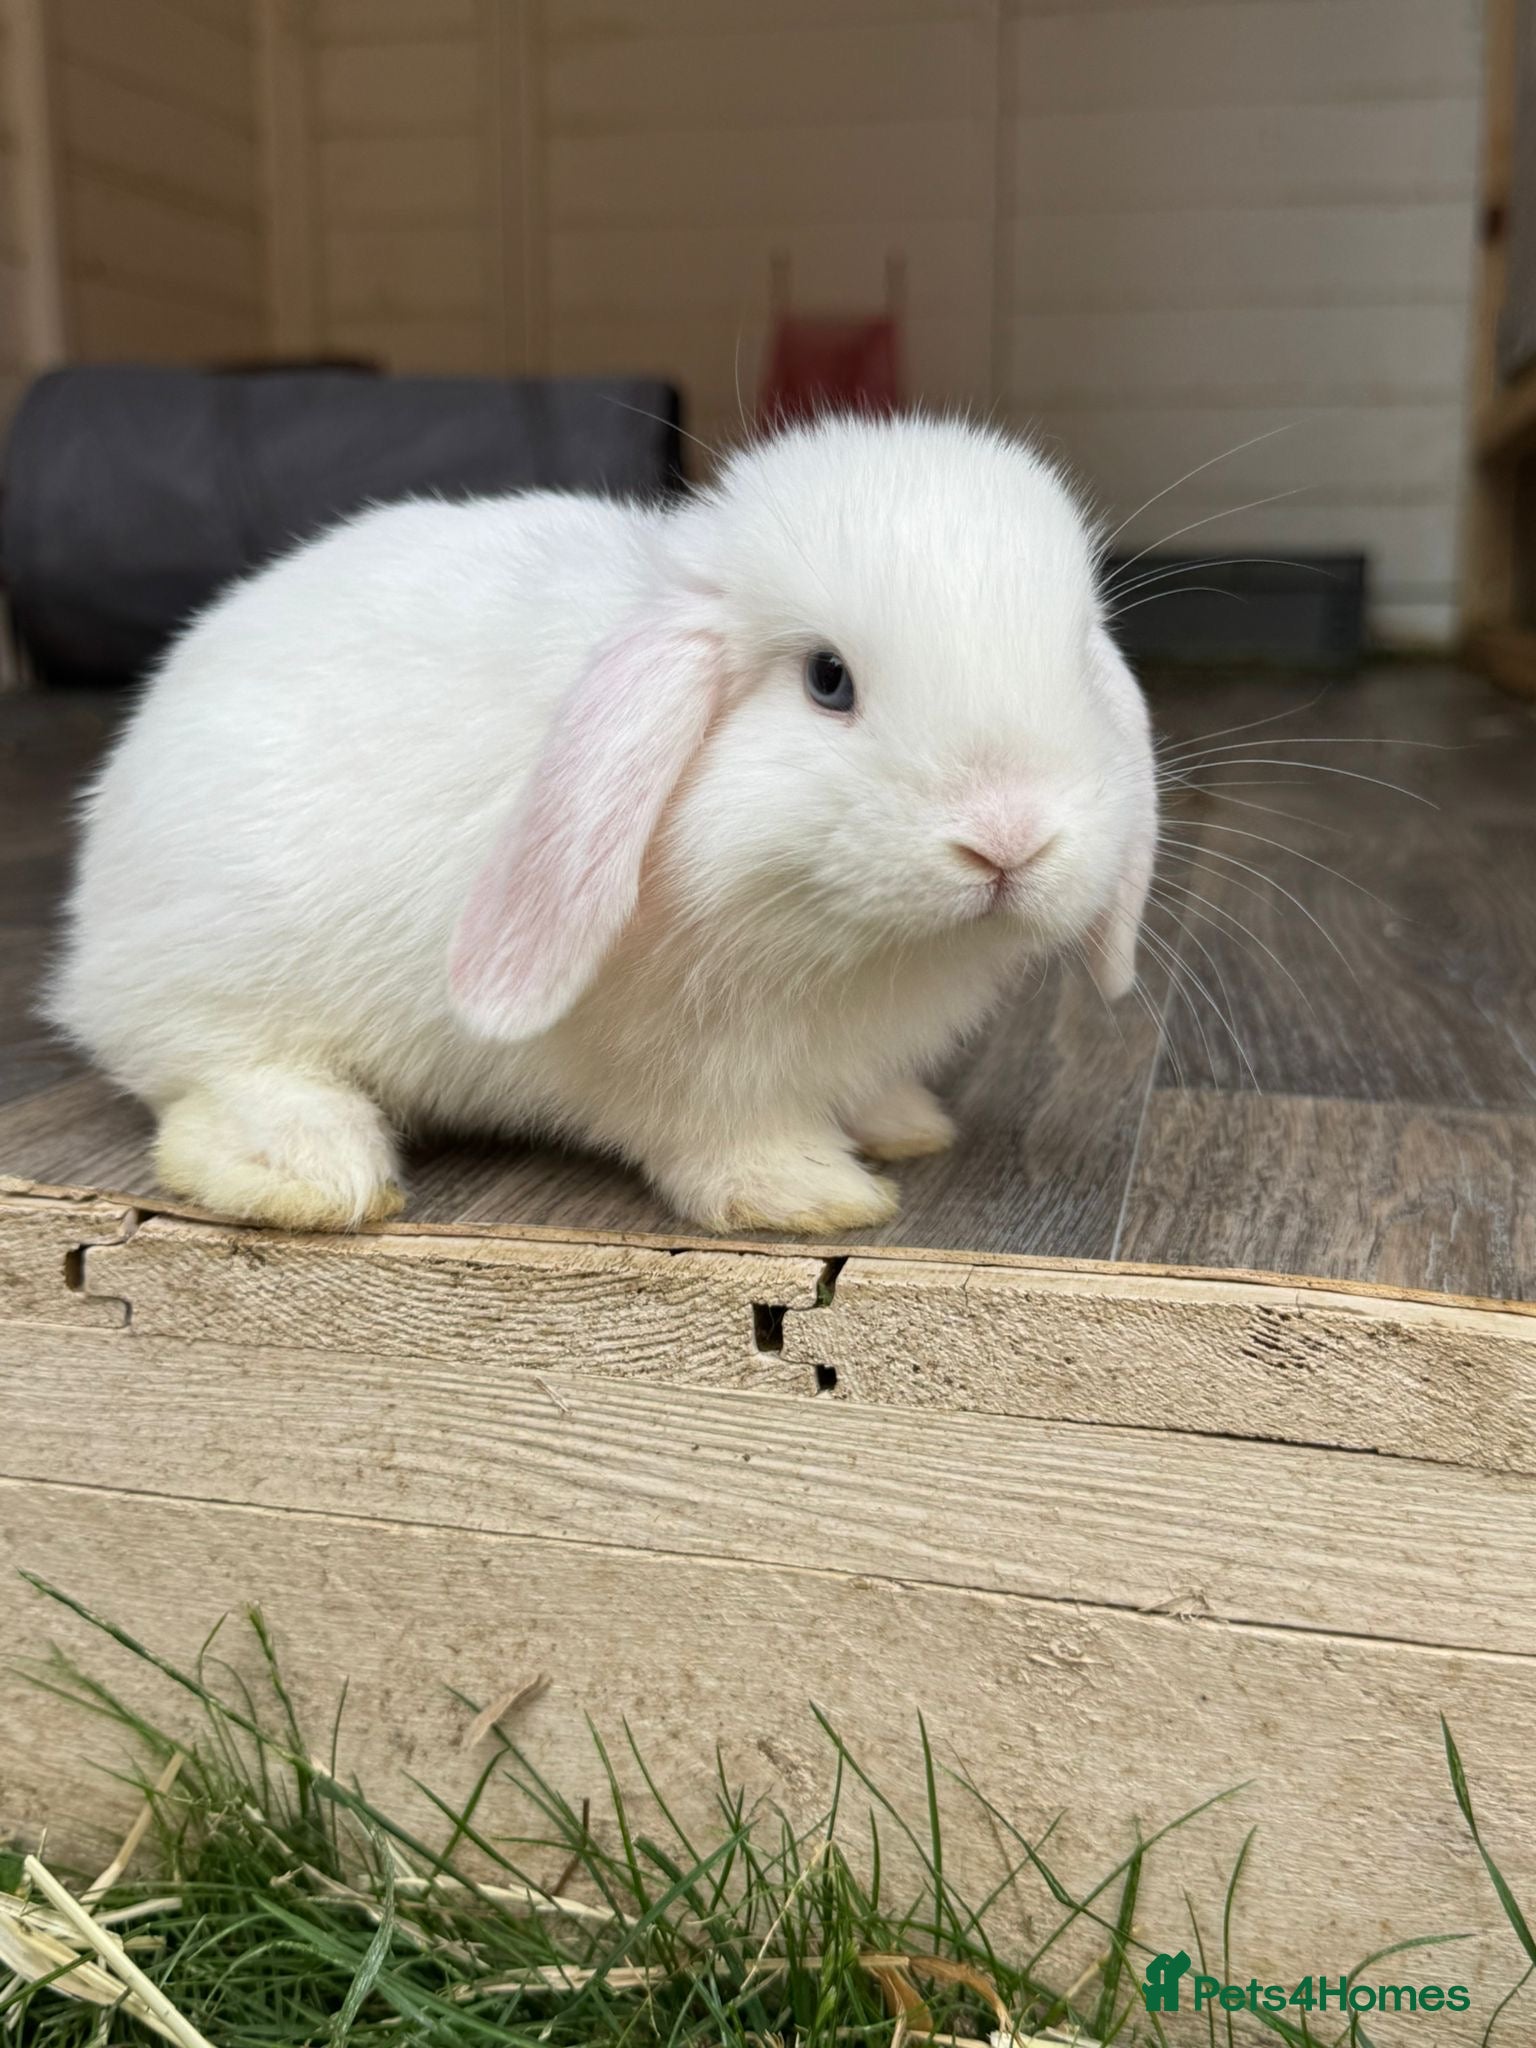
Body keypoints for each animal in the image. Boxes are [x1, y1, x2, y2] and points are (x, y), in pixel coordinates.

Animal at [49, 412, 1157, 1236]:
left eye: (1075, 662)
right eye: (827, 679)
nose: (1008, 837)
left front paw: (903, 1126)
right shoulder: (685, 1063)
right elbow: (722, 1134)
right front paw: (813, 1193)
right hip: (227, 974)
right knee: (211, 1076)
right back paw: (307, 1173)